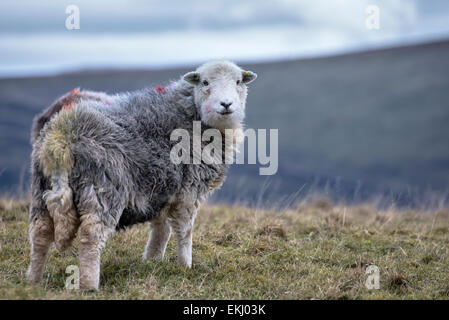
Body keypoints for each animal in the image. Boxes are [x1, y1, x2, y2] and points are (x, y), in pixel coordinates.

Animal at [28, 60, 258, 290]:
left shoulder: (162, 189)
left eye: (238, 81)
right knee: (90, 237)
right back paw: (89, 285)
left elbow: (161, 229)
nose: (226, 104)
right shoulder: (188, 189)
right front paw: (185, 266)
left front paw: (152, 261)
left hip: (41, 189)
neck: (193, 115)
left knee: (40, 233)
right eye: (205, 82)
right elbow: (185, 231)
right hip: (103, 189)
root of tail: (61, 140)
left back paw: (33, 281)